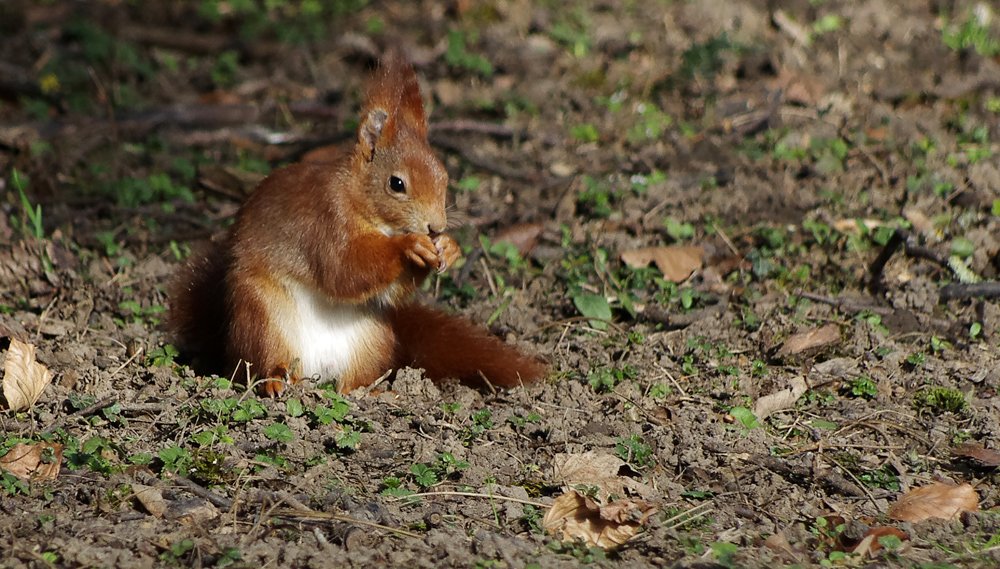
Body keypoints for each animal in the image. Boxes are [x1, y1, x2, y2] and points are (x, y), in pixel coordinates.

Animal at [170, 48, 548, 394]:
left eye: (444, 176)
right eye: (397, 184)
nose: (435, 227)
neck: (364, 207)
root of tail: (314, 372)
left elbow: (387, 289)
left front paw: (449, 248)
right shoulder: (324, 221)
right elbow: (343, 269)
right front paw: (409, 245)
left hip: (374, 337)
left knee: (351, 383)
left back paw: (374, 391)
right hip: (260, 317)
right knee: (260, 360)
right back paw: (275, 380)